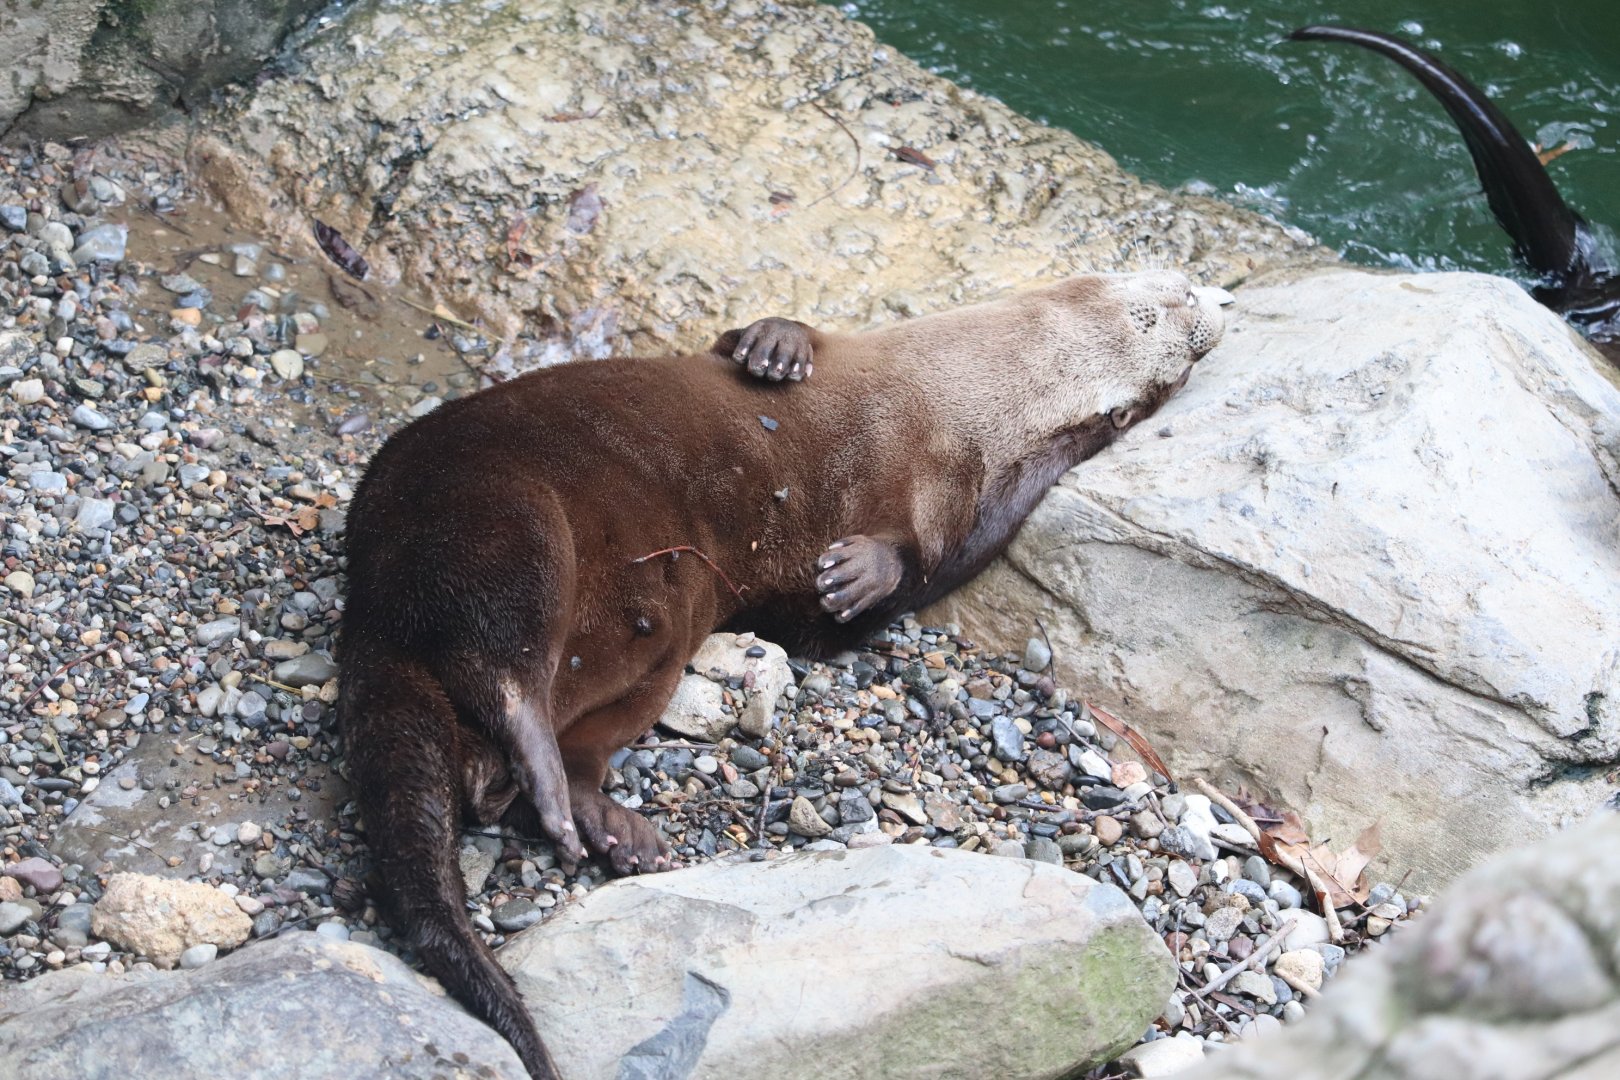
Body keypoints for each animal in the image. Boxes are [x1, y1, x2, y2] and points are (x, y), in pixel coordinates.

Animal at [339, 270, 1228, 1079]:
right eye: (1164, 300)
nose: (1215, 303)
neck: (947, 405)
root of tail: (371, 598)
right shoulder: (876, 365)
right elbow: (751, 339)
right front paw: (775, 348)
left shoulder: (962, 509)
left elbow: (892, 577)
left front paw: (860, 572)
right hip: (499, 512)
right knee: (497, 661)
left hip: (653, 633)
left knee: (540, 739)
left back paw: (607, 825)